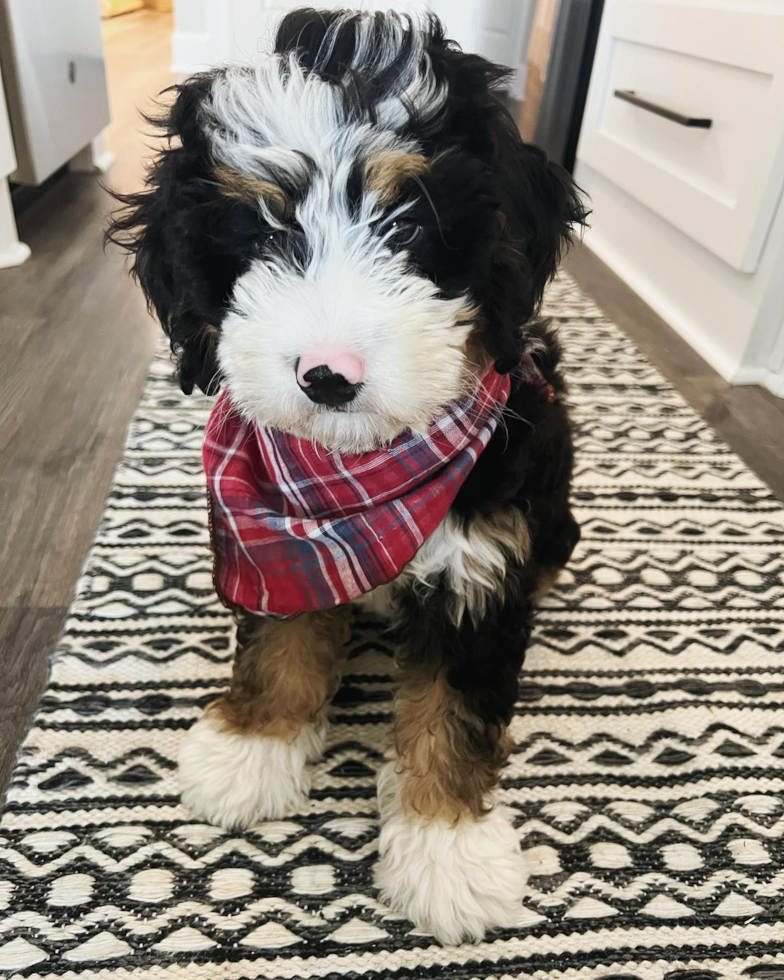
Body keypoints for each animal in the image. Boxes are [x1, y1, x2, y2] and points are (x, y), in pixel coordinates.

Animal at [110, 5, 588, 940]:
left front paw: (448, 851)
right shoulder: (274, 545)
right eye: (263, 234)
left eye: (406, 225)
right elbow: (279, 645)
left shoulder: (479, 567)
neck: (363, 482)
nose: (328, 374)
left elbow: (454, 710)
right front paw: (252, 749)